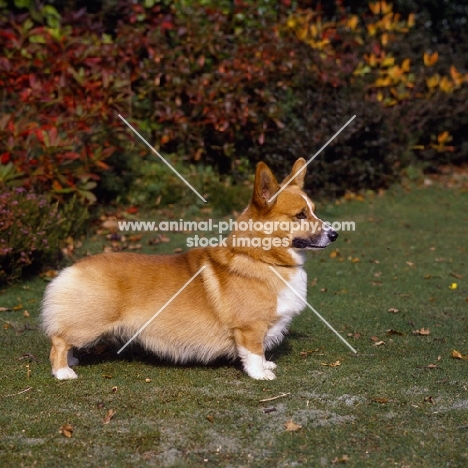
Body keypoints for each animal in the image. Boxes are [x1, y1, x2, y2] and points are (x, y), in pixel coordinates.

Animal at [41, 159, 336, 378]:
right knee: (58, 340)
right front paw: (261, 374)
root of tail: (72, 268)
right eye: (300, 215)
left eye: (313, 210)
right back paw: (63, 372)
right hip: (88, 324)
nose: (335, 235)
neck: (262, 258)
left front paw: (267, 365)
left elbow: (261, 353)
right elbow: (254, 353)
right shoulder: (250, 328)